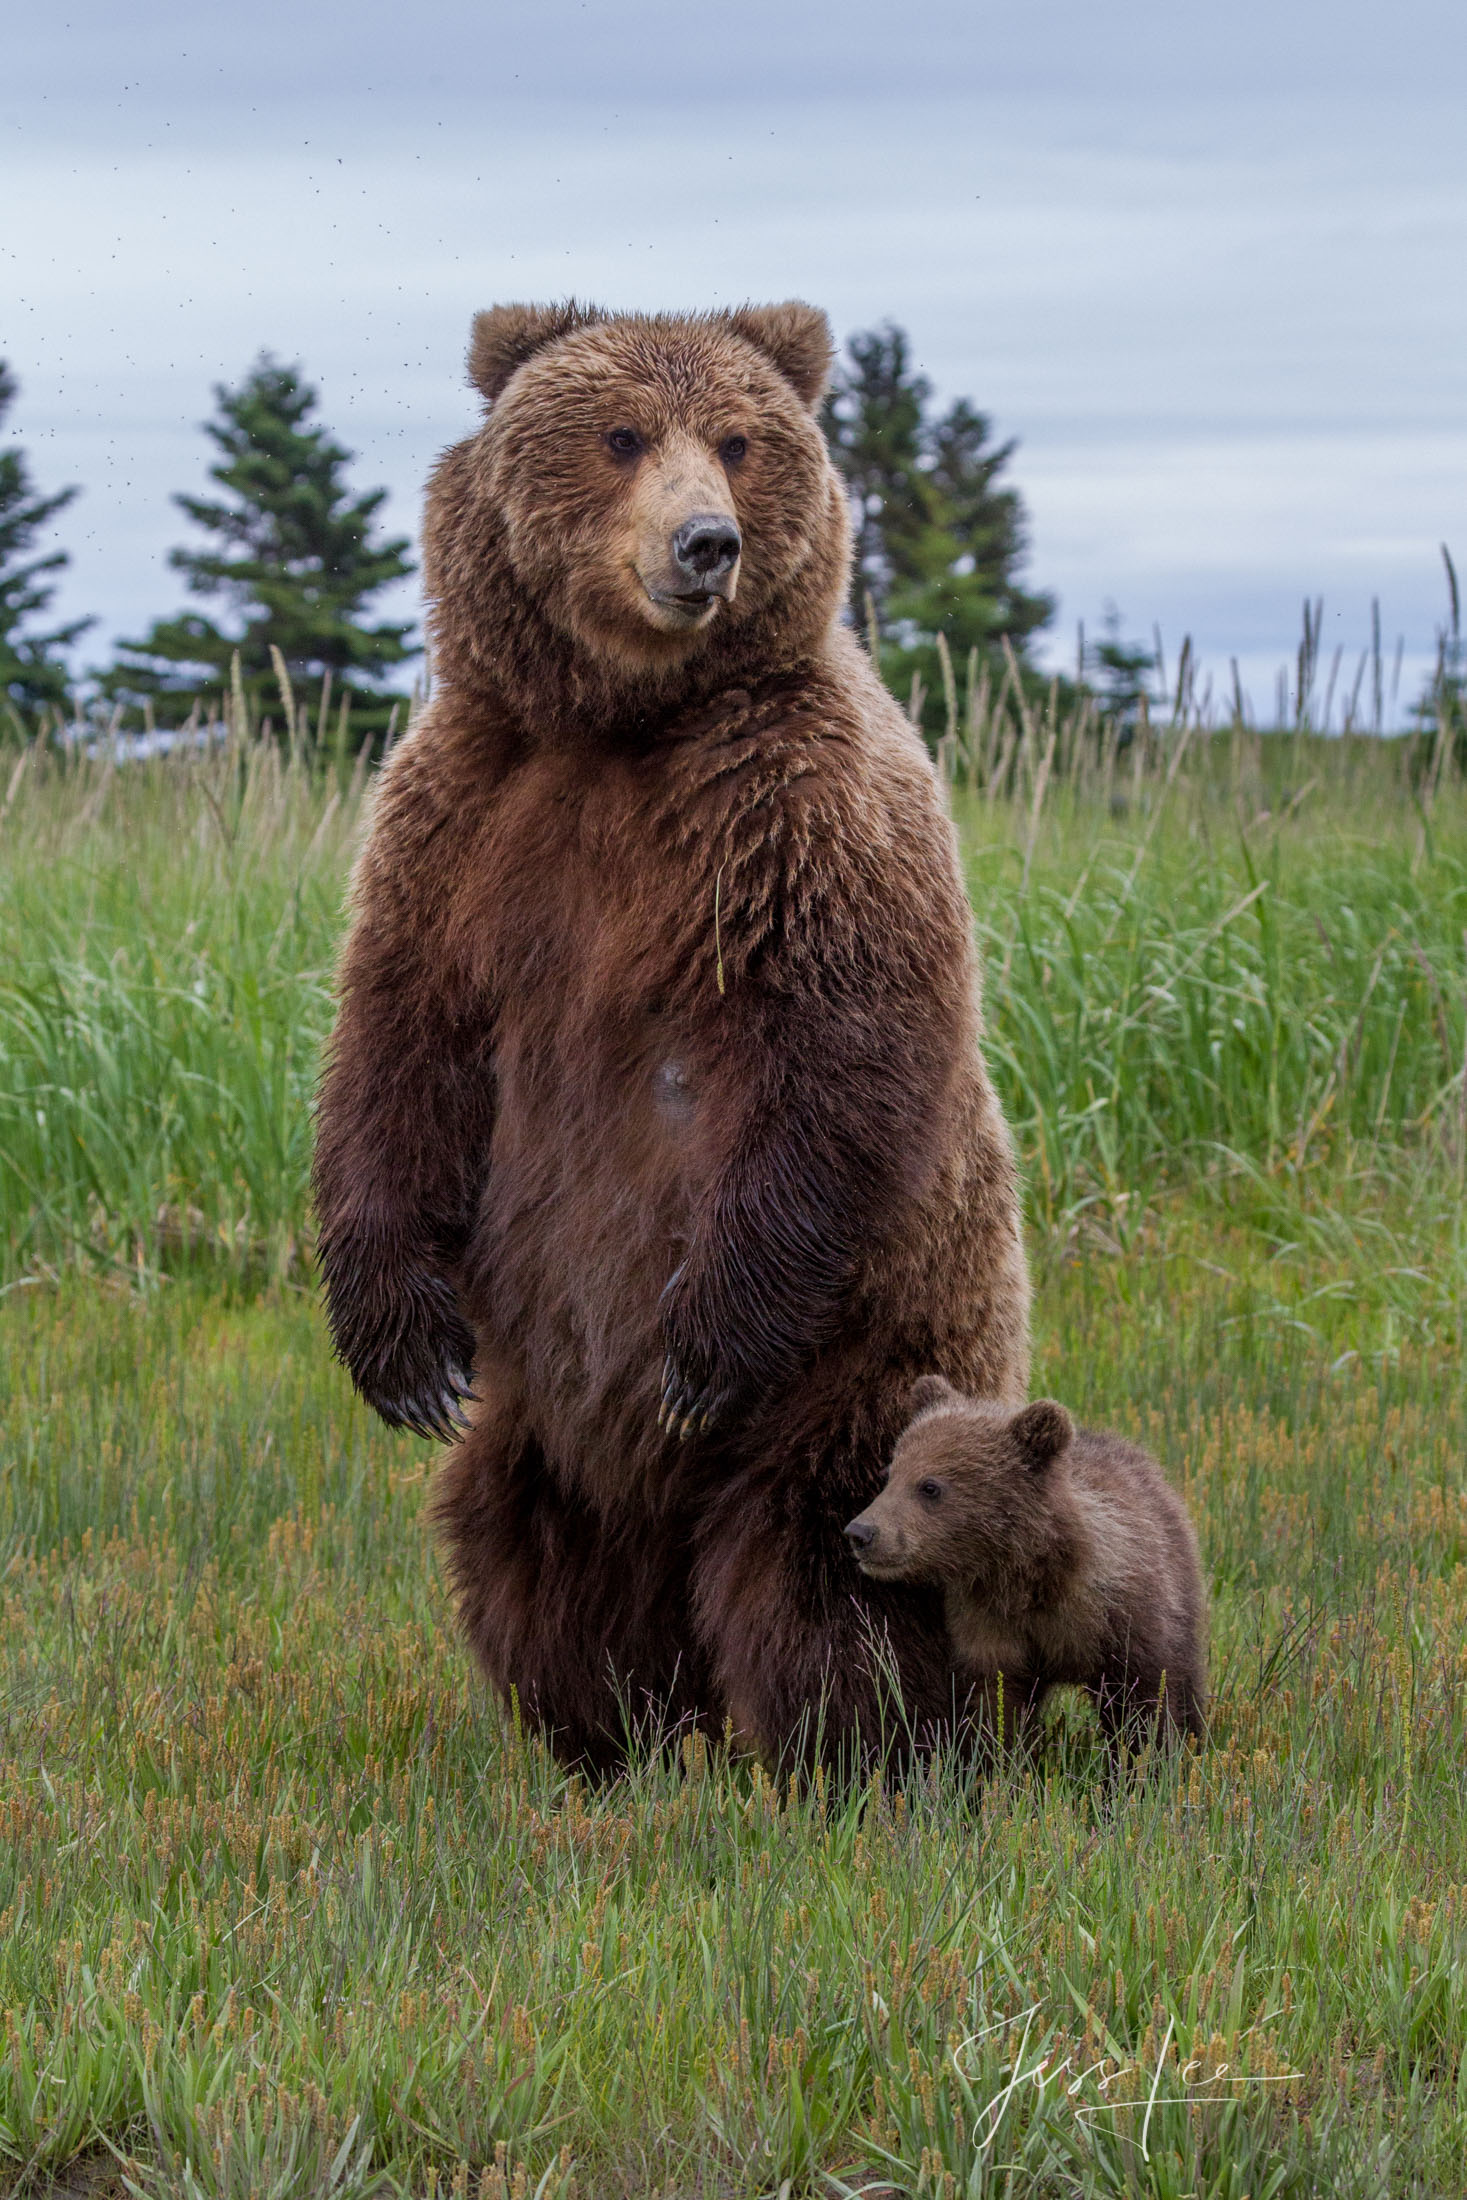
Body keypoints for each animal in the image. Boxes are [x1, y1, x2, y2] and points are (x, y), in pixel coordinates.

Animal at [316, 297, 1033, 1768]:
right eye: (619, 433)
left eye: (741, 440)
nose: (707, 541)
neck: (623, 724)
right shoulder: (461, 814)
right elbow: (399, 1044)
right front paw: (400, 1354)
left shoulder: (801, 813)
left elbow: (835, 1057)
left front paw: (697, 1351)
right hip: (539, 1399)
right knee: (525, 1539)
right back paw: (603, 1739)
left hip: (870, 1363)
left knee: (823, 1556)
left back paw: (862, 1755)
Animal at [844, 1381, 1214, 1760]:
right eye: (889, 1475)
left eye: (929, 1486)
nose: (861, 1532)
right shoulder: (989, 1622)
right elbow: (996, 1700)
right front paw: (996, 1758)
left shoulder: (1123, 1617)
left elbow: (1143, 1698)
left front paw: (1149, 1757)